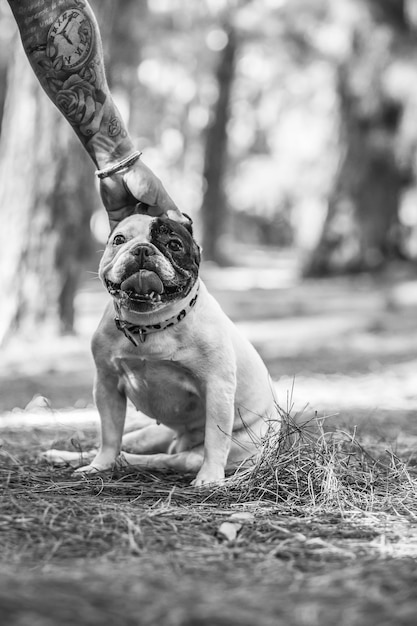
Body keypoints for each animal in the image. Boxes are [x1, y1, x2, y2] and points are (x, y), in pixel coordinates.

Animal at [44, 212, 280, 486]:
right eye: (119, 239)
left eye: (174, 245)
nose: (142, 249)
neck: (149, 325)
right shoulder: (106, 384)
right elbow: (109, 434)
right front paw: (98, 466)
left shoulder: (217, 388)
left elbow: (216, 440)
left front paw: (210, 477)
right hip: (149, 434)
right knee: (121, 442)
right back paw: (66, 456)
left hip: (210, 451)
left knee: (167, 458)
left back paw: (127, 461)